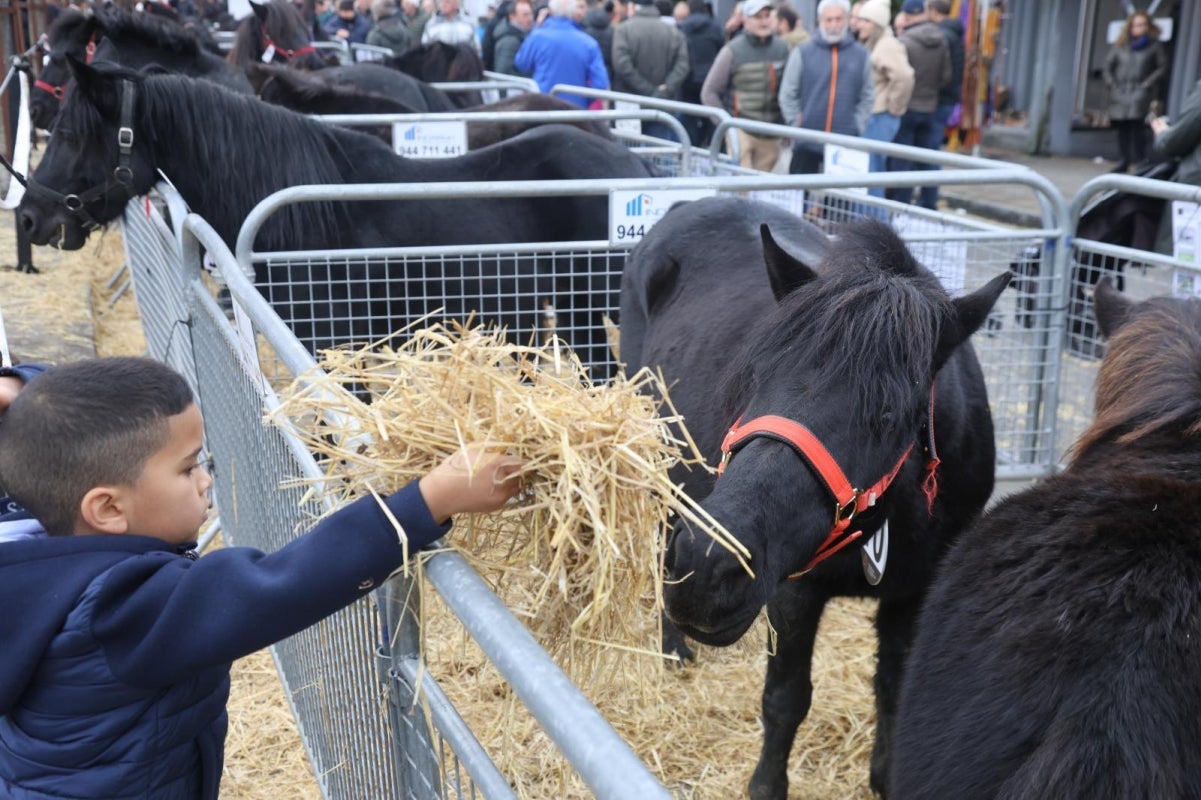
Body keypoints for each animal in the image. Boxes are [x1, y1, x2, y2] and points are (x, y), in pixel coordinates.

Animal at [619, 194, 1013, 797]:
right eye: (754, 375)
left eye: (888, 415)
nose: (707, 568)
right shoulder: (793, 591)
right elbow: (785, 701)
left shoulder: (913, 593)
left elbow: (892, 692)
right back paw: (673, 649)